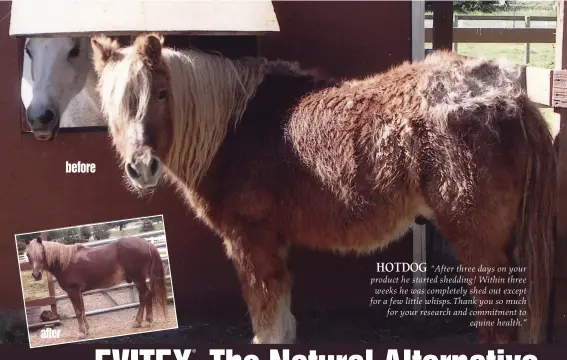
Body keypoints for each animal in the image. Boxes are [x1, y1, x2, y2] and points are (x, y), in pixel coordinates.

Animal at [25, 236, 166, 338]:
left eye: (42, 252)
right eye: (27, 254)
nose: (36, 275)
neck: (65, 262)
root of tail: (147, 243)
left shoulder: (72, 291)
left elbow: (78, 311)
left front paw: (81, 333)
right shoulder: (79, 292)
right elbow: (82, 310)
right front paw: (87, 330)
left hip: (138, 279)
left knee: (146, 295)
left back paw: (145, 321)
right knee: (144, 296)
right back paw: (139, 322)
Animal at [91, 34, 556, 346]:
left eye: (161, 93)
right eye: (112, 102)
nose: (141, 167)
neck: (234, 129)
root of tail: (510, 96)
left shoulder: (249, 238)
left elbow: (266, 310)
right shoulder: (273, 241)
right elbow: (281, 307)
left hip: (478, 242)